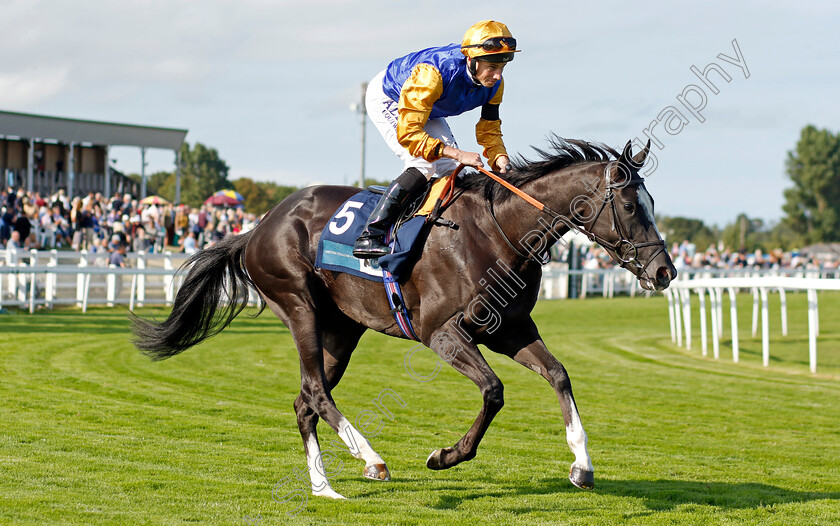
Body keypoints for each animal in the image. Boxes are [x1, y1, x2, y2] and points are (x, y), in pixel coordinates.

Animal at [133, 138, 684, 502]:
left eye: (652, 202)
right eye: (631, 204)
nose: (666, 270)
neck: (498, 232)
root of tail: (258, 227)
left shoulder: (510, 329)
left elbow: (559, 375)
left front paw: (582, 466)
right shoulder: (441, 333)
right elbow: (494, 391)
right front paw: (446, 455)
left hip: (342, 329)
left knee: (305, 401)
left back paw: (323, 486)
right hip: (298, 305)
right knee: (314, 391)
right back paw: (371, 460)